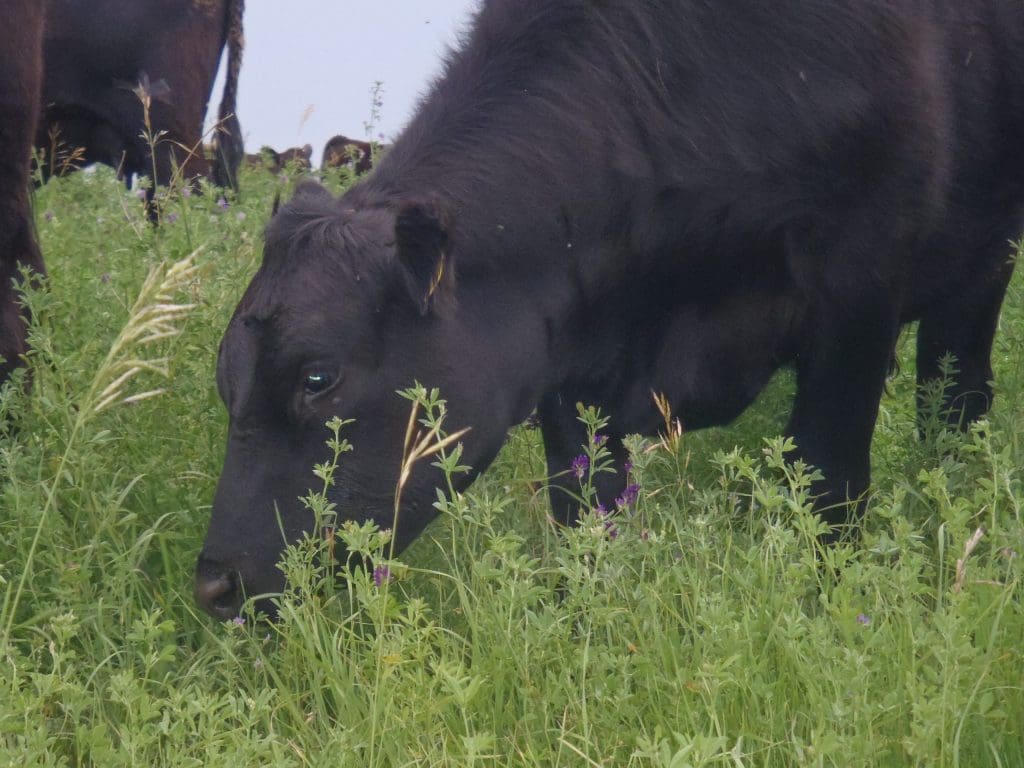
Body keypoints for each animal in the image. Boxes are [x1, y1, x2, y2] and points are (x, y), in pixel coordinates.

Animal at [195, 0, 1024, 622]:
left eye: (318, 377)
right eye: (226, 383)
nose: (214, 585)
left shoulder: (857, 295)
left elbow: (827, 485)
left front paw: (830, 613)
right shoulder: (569, 359)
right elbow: (588, 514)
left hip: (983, 258)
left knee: (957, 386)